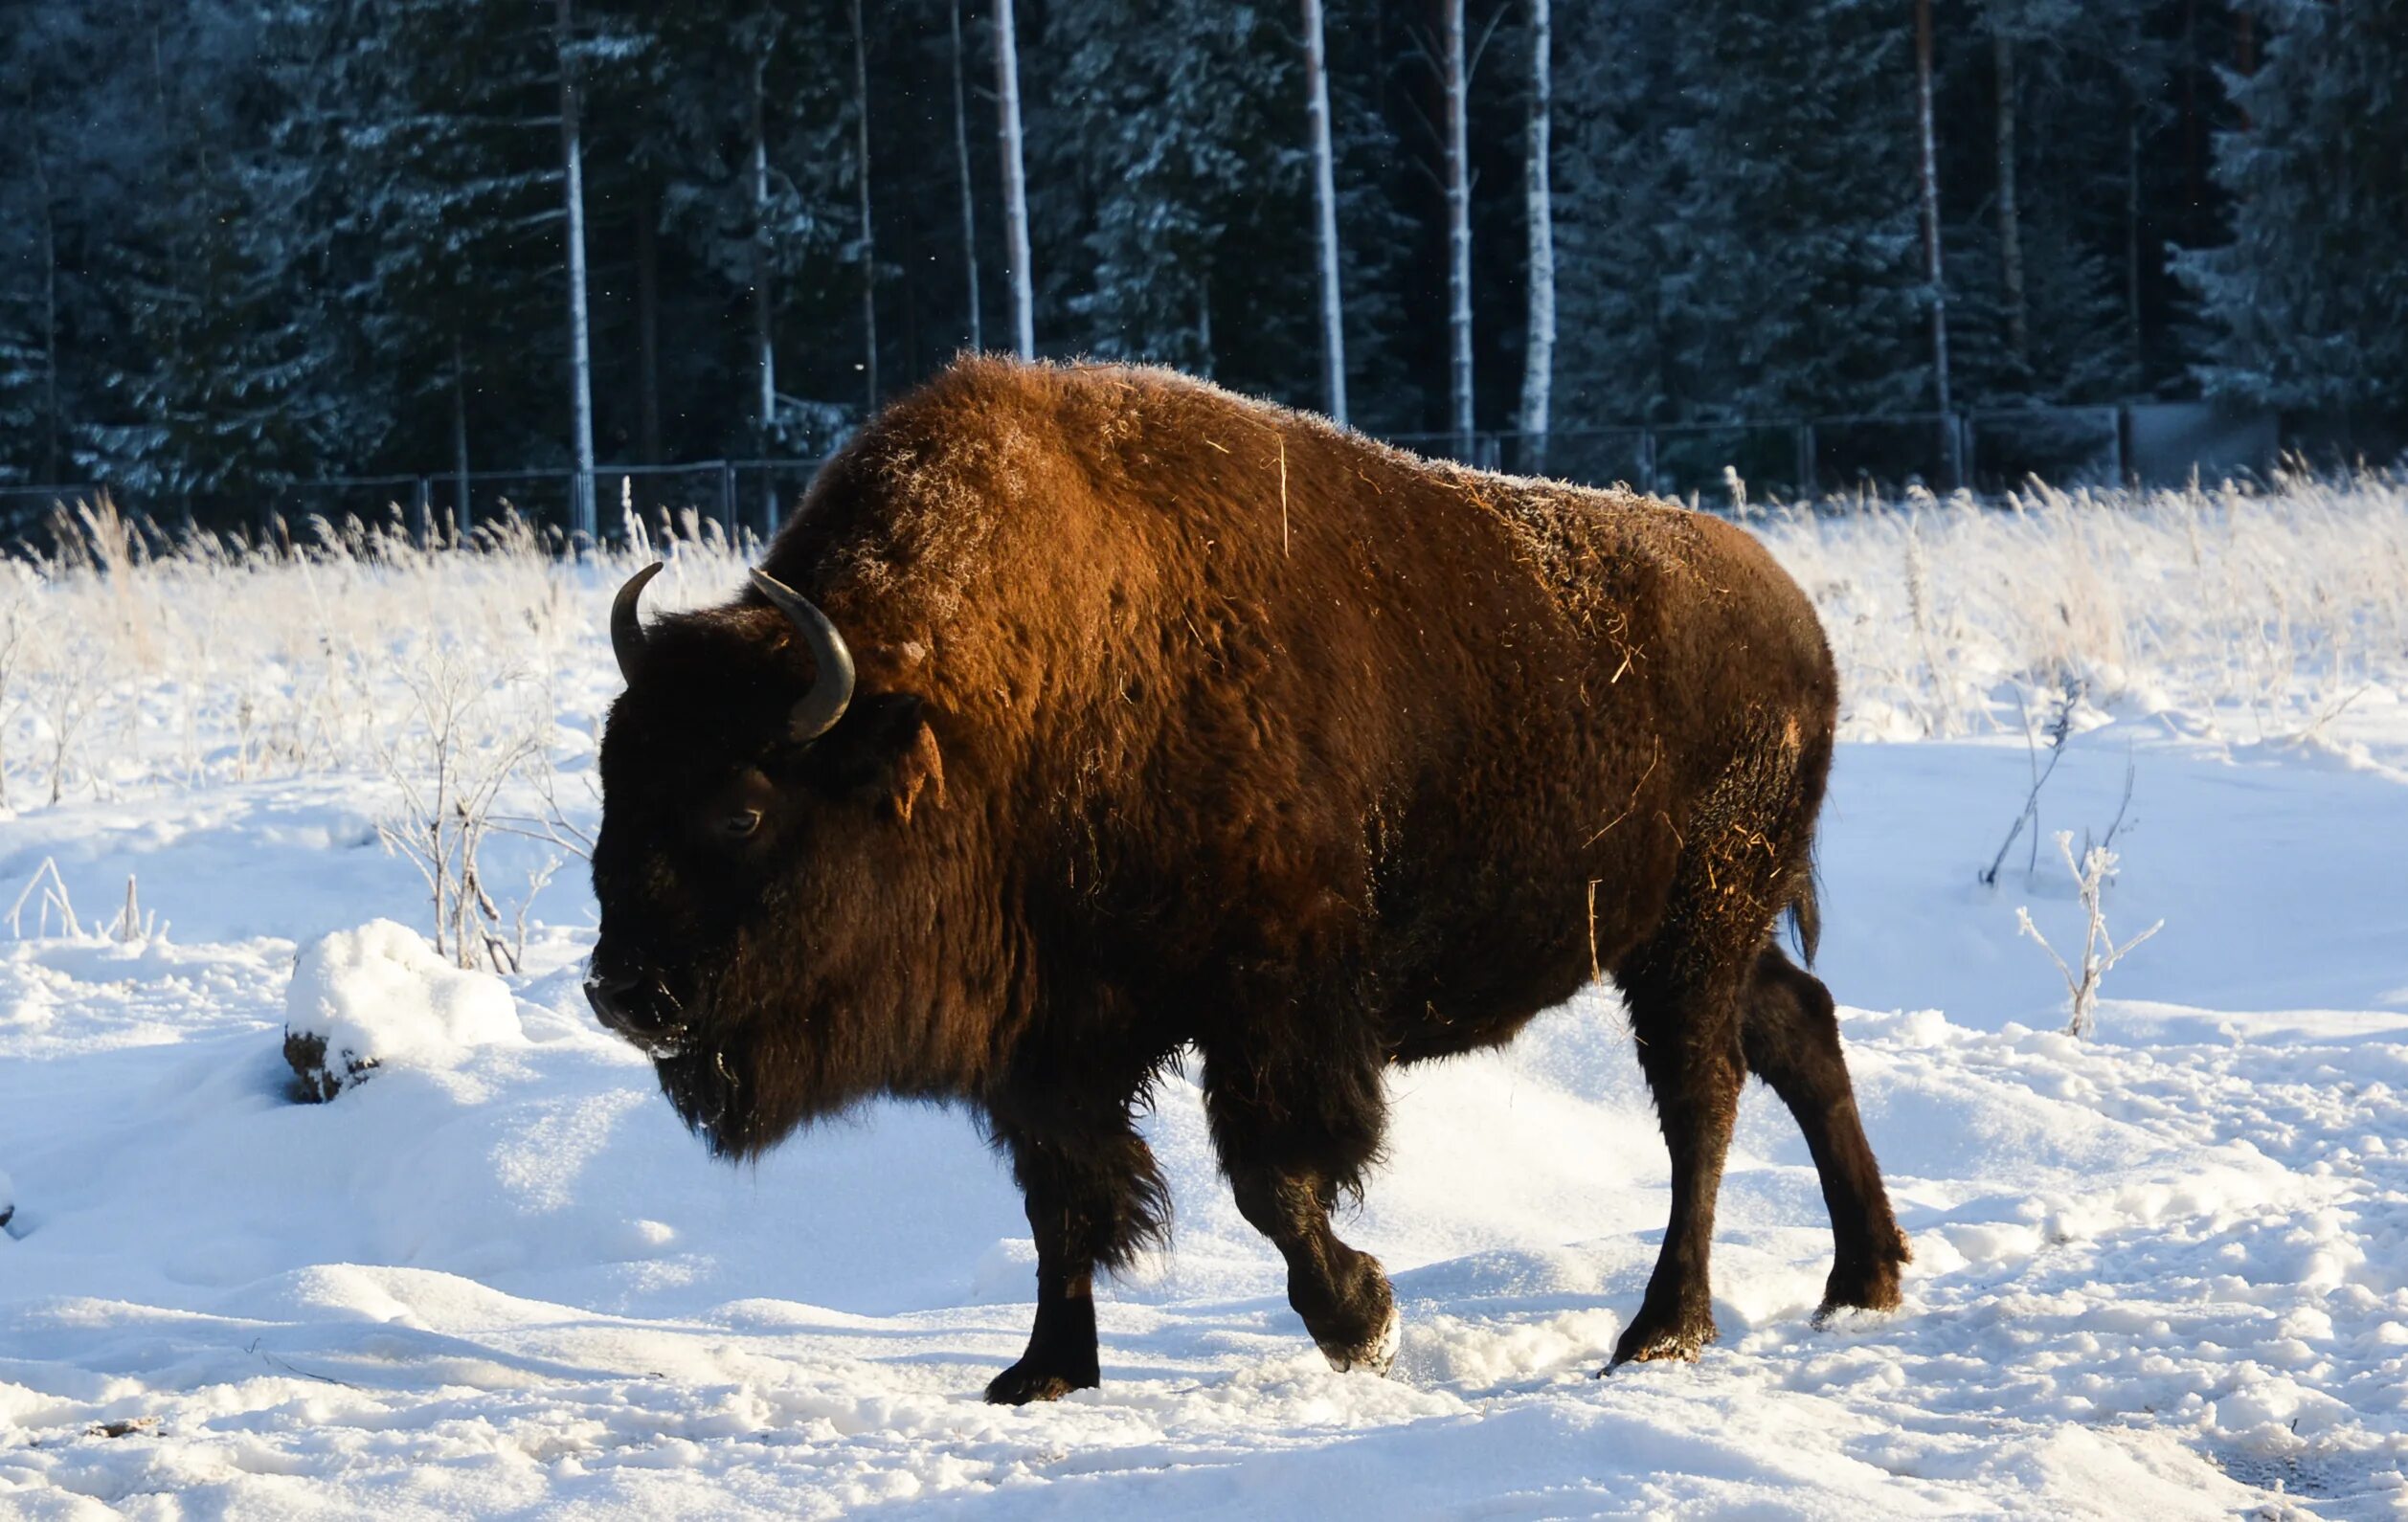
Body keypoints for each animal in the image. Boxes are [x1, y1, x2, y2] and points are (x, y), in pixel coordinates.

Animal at [582, 356, 1897, 1406]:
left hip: (1694, 927)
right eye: (612, 779)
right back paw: (1863, 1277)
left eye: (740, 808)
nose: (622, 993)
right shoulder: (1051, 1047)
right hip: (1694, 932)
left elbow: (1271, 1181)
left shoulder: (1275, 1005)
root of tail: (1793, 615)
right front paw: (1040, 1376)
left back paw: (1663, 1330)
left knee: (1701, 1098)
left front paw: (1361, 1321)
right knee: (1796, 1030)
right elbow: (1065, 1204)